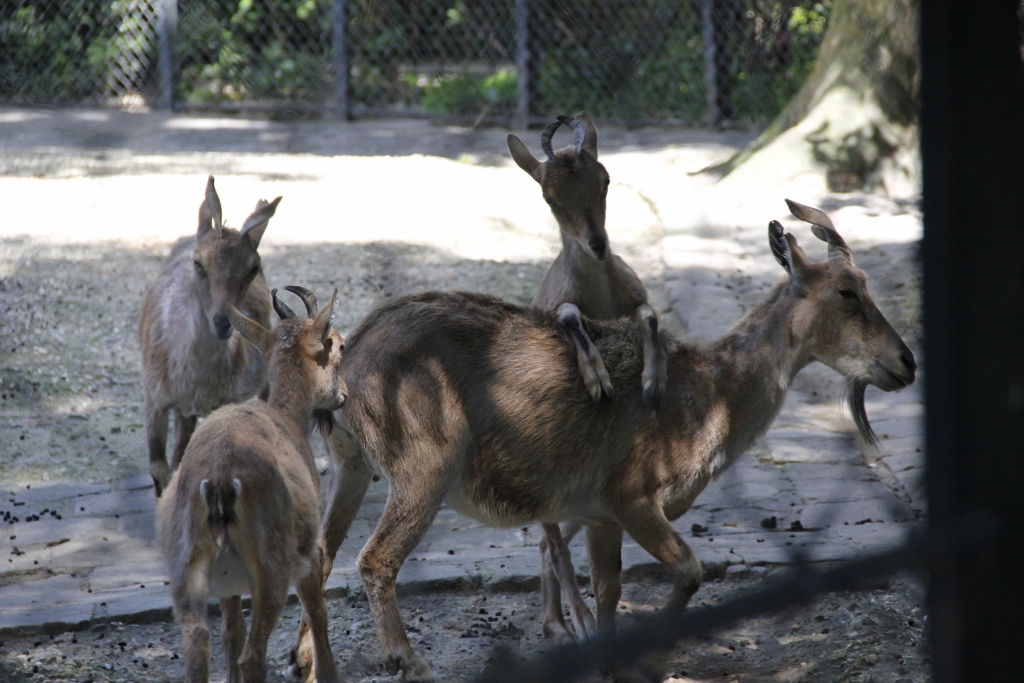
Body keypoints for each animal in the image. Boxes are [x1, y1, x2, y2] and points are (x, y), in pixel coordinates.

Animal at [138, 176, 281, 496]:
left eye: (253, 267)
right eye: (199, 263)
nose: (222, 322)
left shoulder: (223, 399)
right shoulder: (154, 396)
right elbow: (159, 467)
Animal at [157, 287, 345, 683]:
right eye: (337, 344)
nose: (344, 395)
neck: (287, 417)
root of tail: (220, 481)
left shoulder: (227, 584)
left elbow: (231, 631)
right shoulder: (308, 553)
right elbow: (318, 613)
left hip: (185, 568)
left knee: (198, 644)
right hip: (272, 567)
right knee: (253, 656)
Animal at [291, 201, 915, 682]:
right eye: (847, 292)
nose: (905, 363)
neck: (708, 393)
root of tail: (348, 362)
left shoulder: (596, 516)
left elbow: (609, 590)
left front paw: (609, 660)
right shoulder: (631, 495)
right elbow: (689, 570)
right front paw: (650, 662)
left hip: (350, 464)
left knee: (319, 554)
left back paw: (310, 664)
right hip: (425, 464)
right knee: (375, 559)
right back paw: (407, 661)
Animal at [509, 113, 668, 643]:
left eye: (605, 179)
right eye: (549, 197)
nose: (598, 245)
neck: (600, 287)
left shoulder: (635, 298)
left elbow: (649, 315)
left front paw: (653, 379)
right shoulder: (562, 308)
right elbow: (570, 315)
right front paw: (599, 379)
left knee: (549, 544)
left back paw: (557, 621)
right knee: (551, 542)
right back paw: (570, 623)